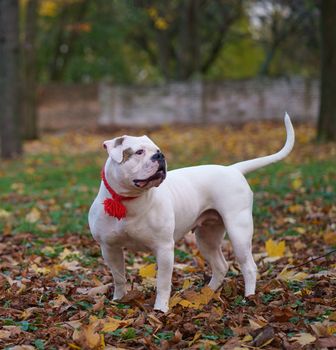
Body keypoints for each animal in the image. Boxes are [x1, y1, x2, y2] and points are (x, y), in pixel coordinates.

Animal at [88, 114, 294, 312]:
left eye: (157, 150)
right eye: (139, 152)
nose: (160, 156)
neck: (129, 201)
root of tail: (233, 169)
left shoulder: (164, 248)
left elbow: (163, 283)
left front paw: (160, 309)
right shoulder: (110, 248)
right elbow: (119, 277)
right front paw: (118, 300)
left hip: (239, 231)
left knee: (249, 266)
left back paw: (248, 297)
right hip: (206, 237)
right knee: (220, 265)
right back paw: (207, 293)